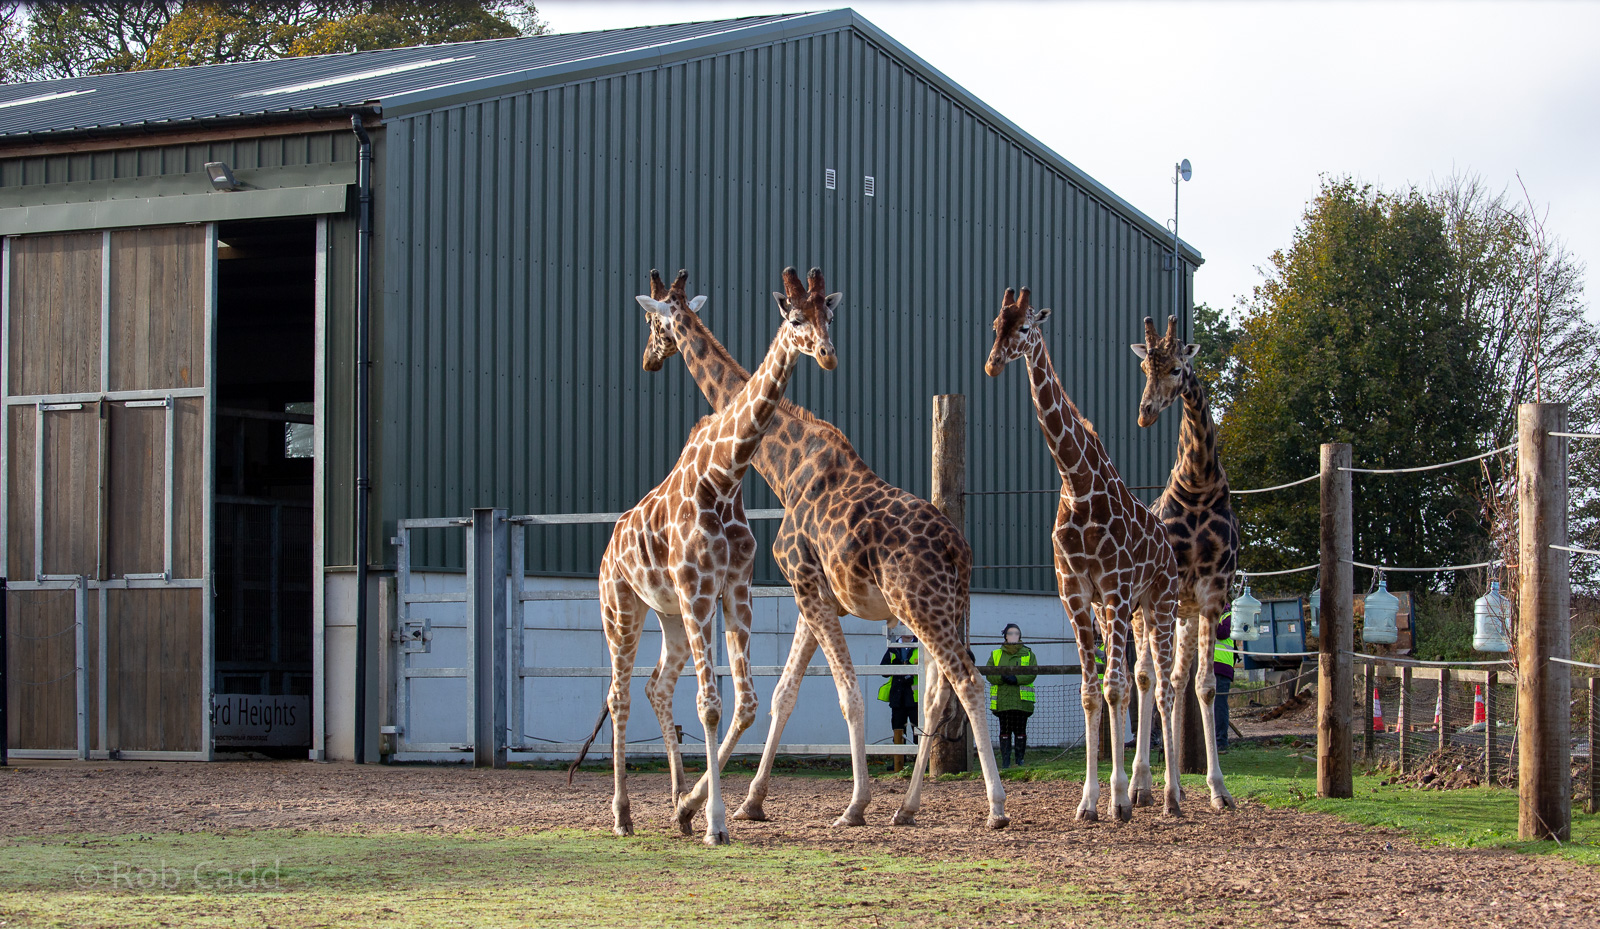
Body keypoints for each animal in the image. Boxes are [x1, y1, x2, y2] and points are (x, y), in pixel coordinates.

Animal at [597, 268, 835, 845]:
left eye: (829, 315)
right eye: (796, 318)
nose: (827, 354)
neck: (725, 474)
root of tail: (609, 548)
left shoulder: (735, 591)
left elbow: (744, 703)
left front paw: (693, 808)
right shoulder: (699, 590)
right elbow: (710, 705)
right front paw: (715, 823)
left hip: (672, 618)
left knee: (657, 686)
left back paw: (677, 800)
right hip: (623, 611)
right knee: (620, 695)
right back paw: (623, 814)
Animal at [639, 267, 1011, 830]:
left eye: (653, 322)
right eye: (797, 317)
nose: (649, 358)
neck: (782, 466)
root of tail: (960, 551)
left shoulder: (807, 586)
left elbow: (849, 694)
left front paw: (854, 805)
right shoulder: (811, 594)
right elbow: (784, 694)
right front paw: (749, 802)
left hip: (920, 605)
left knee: (969, 682)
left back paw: (995, 807)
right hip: (948, 607)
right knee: (937, 693)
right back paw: (906, 807)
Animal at [985, 287, 1182, 821]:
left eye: (1025, 328)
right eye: (995, 324)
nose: (992, 364)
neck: (1077, 483)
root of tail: (1168, 545)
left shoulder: (1114, 588)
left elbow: (1115, 688)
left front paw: (1117, 800)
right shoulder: (1076, 594)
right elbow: (1092, 694)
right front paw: (1090, 802)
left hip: (1160, 603)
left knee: (1165, 687)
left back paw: (1172, 796)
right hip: (1128, 610)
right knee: (1143, 684)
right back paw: (1145, 790)